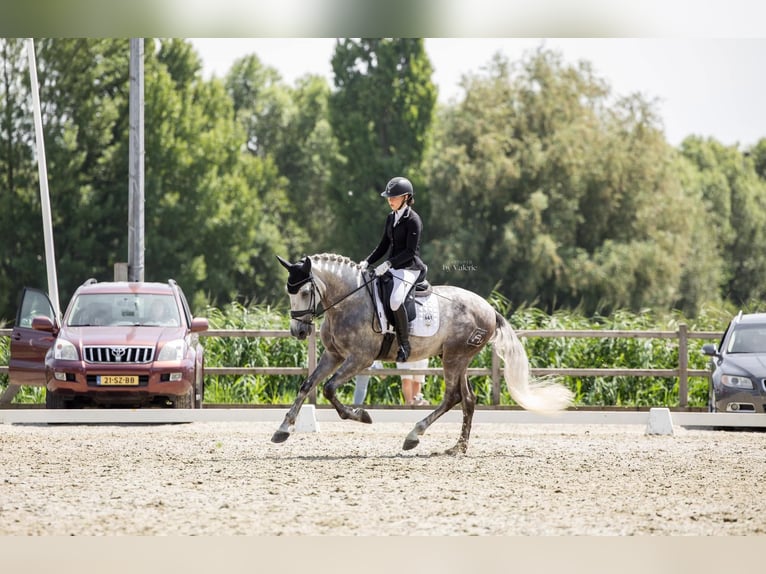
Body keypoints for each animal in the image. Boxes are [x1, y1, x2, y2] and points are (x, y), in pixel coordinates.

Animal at [273, 253, 573, 454]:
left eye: (305, 291)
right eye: (289, 292)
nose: (298, 331)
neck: (348, 300)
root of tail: (489, 308)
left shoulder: (360, 359)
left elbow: (329, 388)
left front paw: (362, 415)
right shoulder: (333, 355)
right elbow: (308, 385)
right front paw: (283, 429)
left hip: (454, 357)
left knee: (452, 397)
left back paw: (414, 435)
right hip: (457, 359)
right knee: (468, 399)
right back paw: (457, 448)